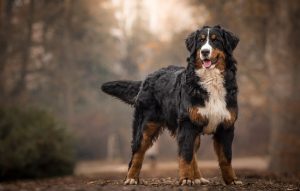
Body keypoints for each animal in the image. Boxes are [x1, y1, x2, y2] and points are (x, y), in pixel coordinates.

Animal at [102, 25, 243, 185]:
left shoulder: (226, 126)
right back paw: (131, 178)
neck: (210, 80)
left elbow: (226, 158)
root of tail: (147, 78)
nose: (205, 52)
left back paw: (198, 178)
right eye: (201, 41)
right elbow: (185, 155)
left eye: (216, 40)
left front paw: (232, 180)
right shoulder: (187, 124)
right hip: (145, 125)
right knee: (137, 153)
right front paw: (186, 179)